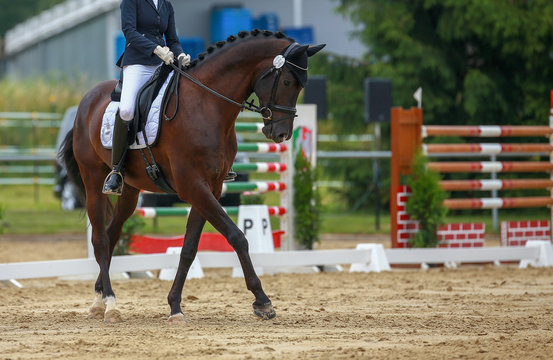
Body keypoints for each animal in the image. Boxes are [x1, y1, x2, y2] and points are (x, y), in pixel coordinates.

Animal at [59, 29, 324, 324]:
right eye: (288, 81)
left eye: (300, 85)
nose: (281, 134)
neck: (208, 104)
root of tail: (86, 100)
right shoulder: (193, 187)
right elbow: (237, 236)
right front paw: (262, 301)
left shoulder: (210, 187)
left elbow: (188, 249)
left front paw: (175, 305)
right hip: (93, 181)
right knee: (100, 240)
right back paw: (110, 304)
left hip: (130, 189)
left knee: (112, 233)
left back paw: (99, 299)